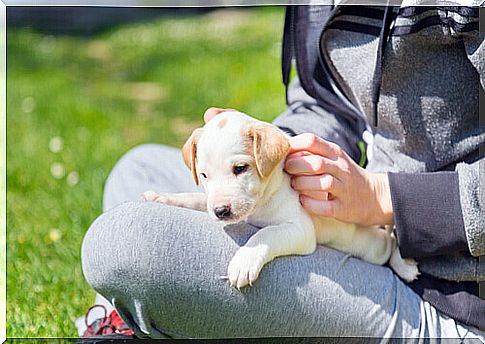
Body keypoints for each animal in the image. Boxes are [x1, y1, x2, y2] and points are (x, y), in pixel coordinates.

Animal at [142, 111, 418, 288]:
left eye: (240, 168)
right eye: (204, 175)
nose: (221, 211)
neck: (262, 201)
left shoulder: (299, 229)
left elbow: (266, 233)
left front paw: (245, 260)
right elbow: (195, 199)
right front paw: (163, 197)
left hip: (372, 247)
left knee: (391, 243)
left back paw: (404, 265)